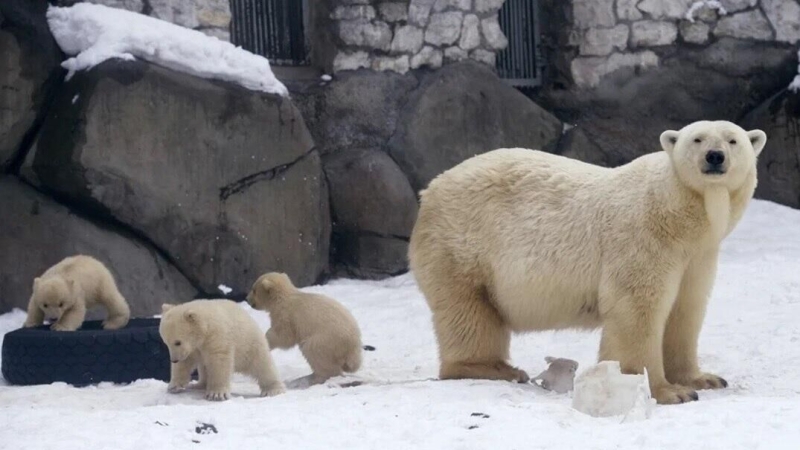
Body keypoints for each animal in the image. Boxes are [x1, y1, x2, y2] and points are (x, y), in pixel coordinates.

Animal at [410, 120, 764, 404]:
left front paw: (703, 379)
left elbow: (685, 310)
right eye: (697, 139)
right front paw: (666, 391)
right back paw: (494, 368)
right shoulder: (643, 237)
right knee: (468, 311)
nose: (715, 156)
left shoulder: (697, 256)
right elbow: (637, 308)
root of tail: (430, 189)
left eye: (733, 140)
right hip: (464, 245)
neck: (677, 216)